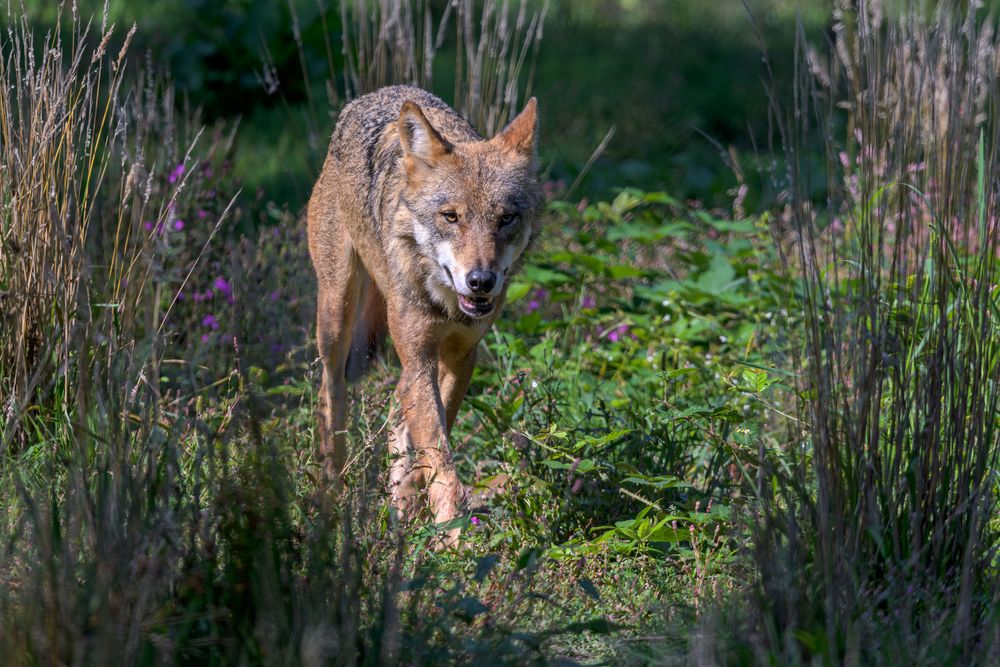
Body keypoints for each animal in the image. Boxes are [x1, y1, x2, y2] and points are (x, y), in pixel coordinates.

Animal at [308, 85, 544, 544]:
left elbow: (436, 437)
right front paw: (455, 536)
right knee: (331, 397)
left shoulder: (459, 356)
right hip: (336, 319)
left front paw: (418, 507)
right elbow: (438, 450)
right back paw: (332, 490)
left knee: (396, 412)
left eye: (505, 218)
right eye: (450, 216)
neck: (445, 302)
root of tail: (370, 97)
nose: (481, 281)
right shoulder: (419, 357)